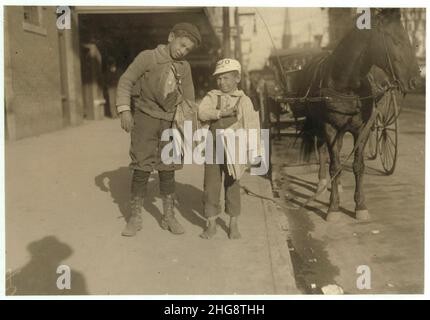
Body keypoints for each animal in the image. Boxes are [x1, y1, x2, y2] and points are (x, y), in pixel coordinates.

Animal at [292, 8, 420, 221]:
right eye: (395, 39)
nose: (416, 80)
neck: (346, 84)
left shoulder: (362, 129)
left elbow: (357, 165)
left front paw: (360, 206)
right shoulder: (330, 128)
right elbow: (335, 165)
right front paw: (333, 208)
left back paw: (337, 184)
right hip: (320, 126)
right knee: (323, 151)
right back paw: (322, 183)